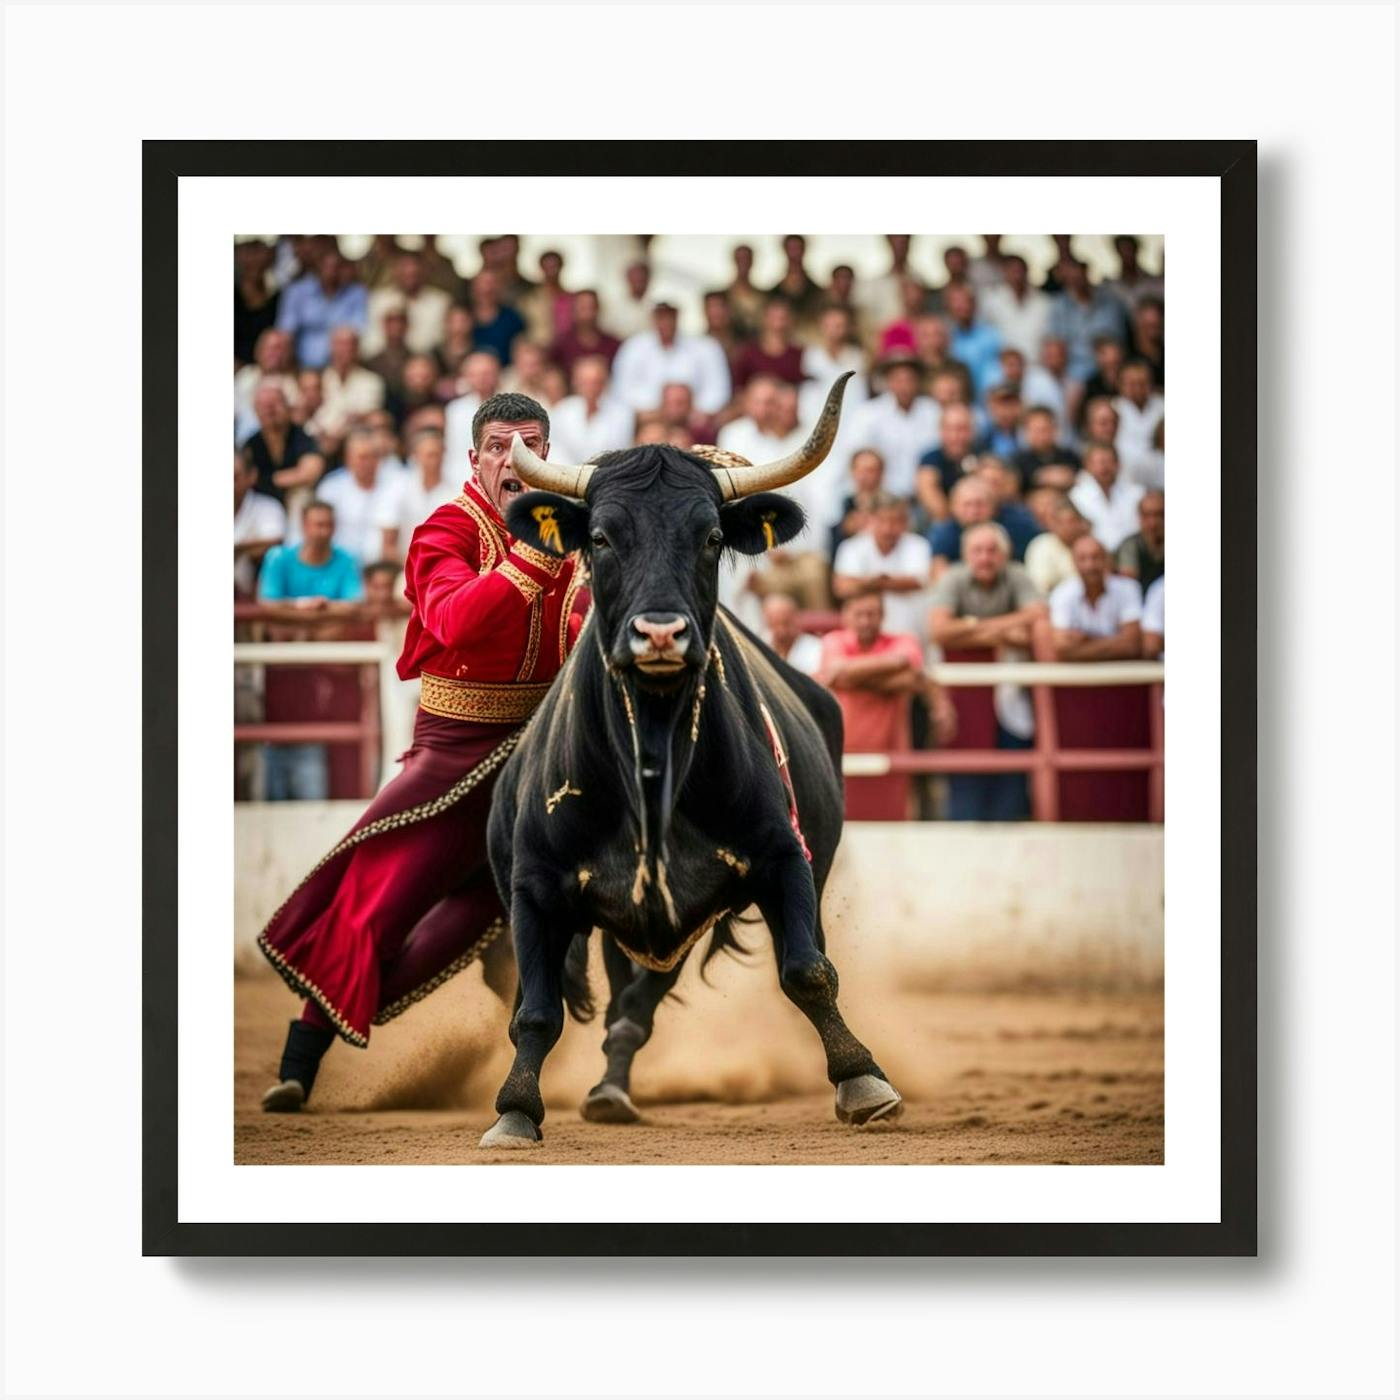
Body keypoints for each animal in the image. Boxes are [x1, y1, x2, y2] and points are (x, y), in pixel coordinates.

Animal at [476, 420, 901, 1142]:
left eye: (710, 537)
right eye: (600, 537)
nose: (659, 634)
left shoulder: (784, 858)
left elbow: (808, 971)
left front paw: (862, 1078)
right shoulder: (533, 885)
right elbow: (535, 1009)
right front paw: (514, 1110)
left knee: (638, 1005)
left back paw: (612, 1088)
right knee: (619, 1002)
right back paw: (607, 1089)